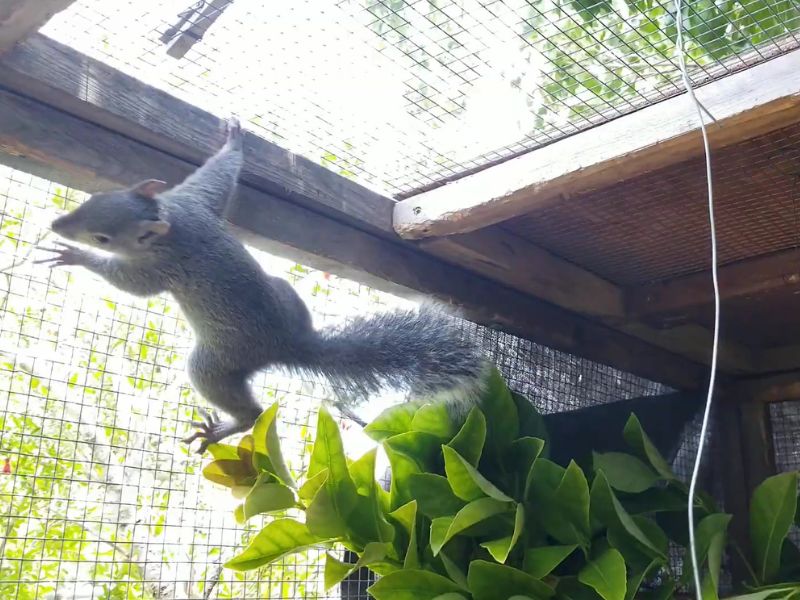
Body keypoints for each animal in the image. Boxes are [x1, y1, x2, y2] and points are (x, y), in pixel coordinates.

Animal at [39, 119, 488, 452]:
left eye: (103, 238)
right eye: (95, 198)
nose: (58, 224)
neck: (171, 219)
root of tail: (288, 345)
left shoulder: (160, 267)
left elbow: (131, 284)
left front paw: (74, 257)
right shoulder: (194, 200)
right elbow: (216, 178)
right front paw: (234, 141)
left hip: (215, 362)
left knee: (246, 409)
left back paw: (227, 426)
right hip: (284, 292)